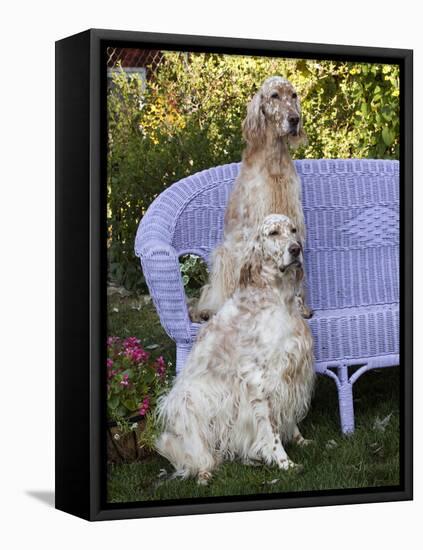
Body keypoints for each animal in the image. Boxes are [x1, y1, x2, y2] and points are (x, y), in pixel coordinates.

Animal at [157, 216, 316, 488]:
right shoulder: (259, 379)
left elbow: (288, 416)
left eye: (293, 230)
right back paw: (204, 474)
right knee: (198, 457)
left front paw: (300, 440)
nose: (296, 249)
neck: (277, 297)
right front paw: (285, 463)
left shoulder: (289, 372)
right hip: (188, 403)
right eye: (273, 233)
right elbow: (271, 429)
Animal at [194, 74, 314, 324]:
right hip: (224, 254)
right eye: (274, 96)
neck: (274, 161)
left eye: (293, 95)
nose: (294, 119)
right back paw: (208, 310)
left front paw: (300, 306)